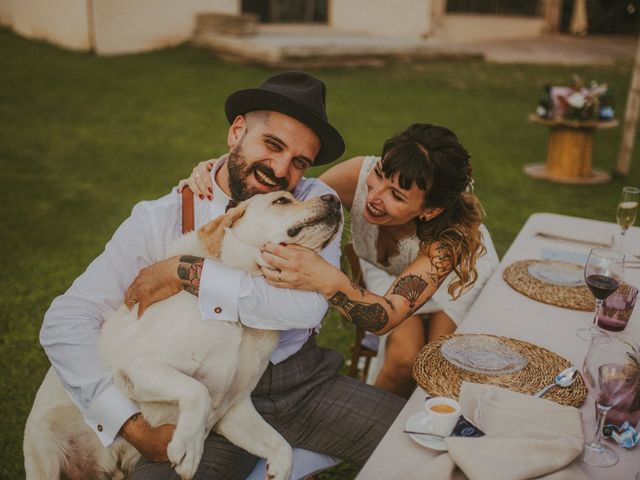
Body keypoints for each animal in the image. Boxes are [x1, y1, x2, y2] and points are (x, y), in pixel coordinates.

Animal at [24, 191, 342, 480]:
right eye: (282, 200)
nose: (335, 199)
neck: (236, 318)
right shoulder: (138, 366)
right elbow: (196, 390)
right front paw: (189, 448)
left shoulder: (235, 409)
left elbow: (282, 447)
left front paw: (278, 471)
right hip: (44, 457)